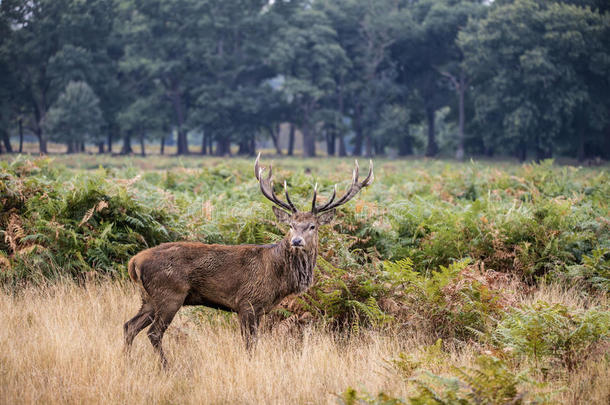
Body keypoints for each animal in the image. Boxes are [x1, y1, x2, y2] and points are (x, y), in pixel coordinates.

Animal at [122, 153, 370, 364]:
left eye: (312, 226)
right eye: (291, 225)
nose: (297, 241)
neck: (279, 279)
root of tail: (134, 262)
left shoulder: (259, 310)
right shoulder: (247, 302)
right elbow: (250, 344)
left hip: (148, 298)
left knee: (129, 326)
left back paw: (128, 362)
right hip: (169, 294)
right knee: (154, 333)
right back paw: (166, 366)